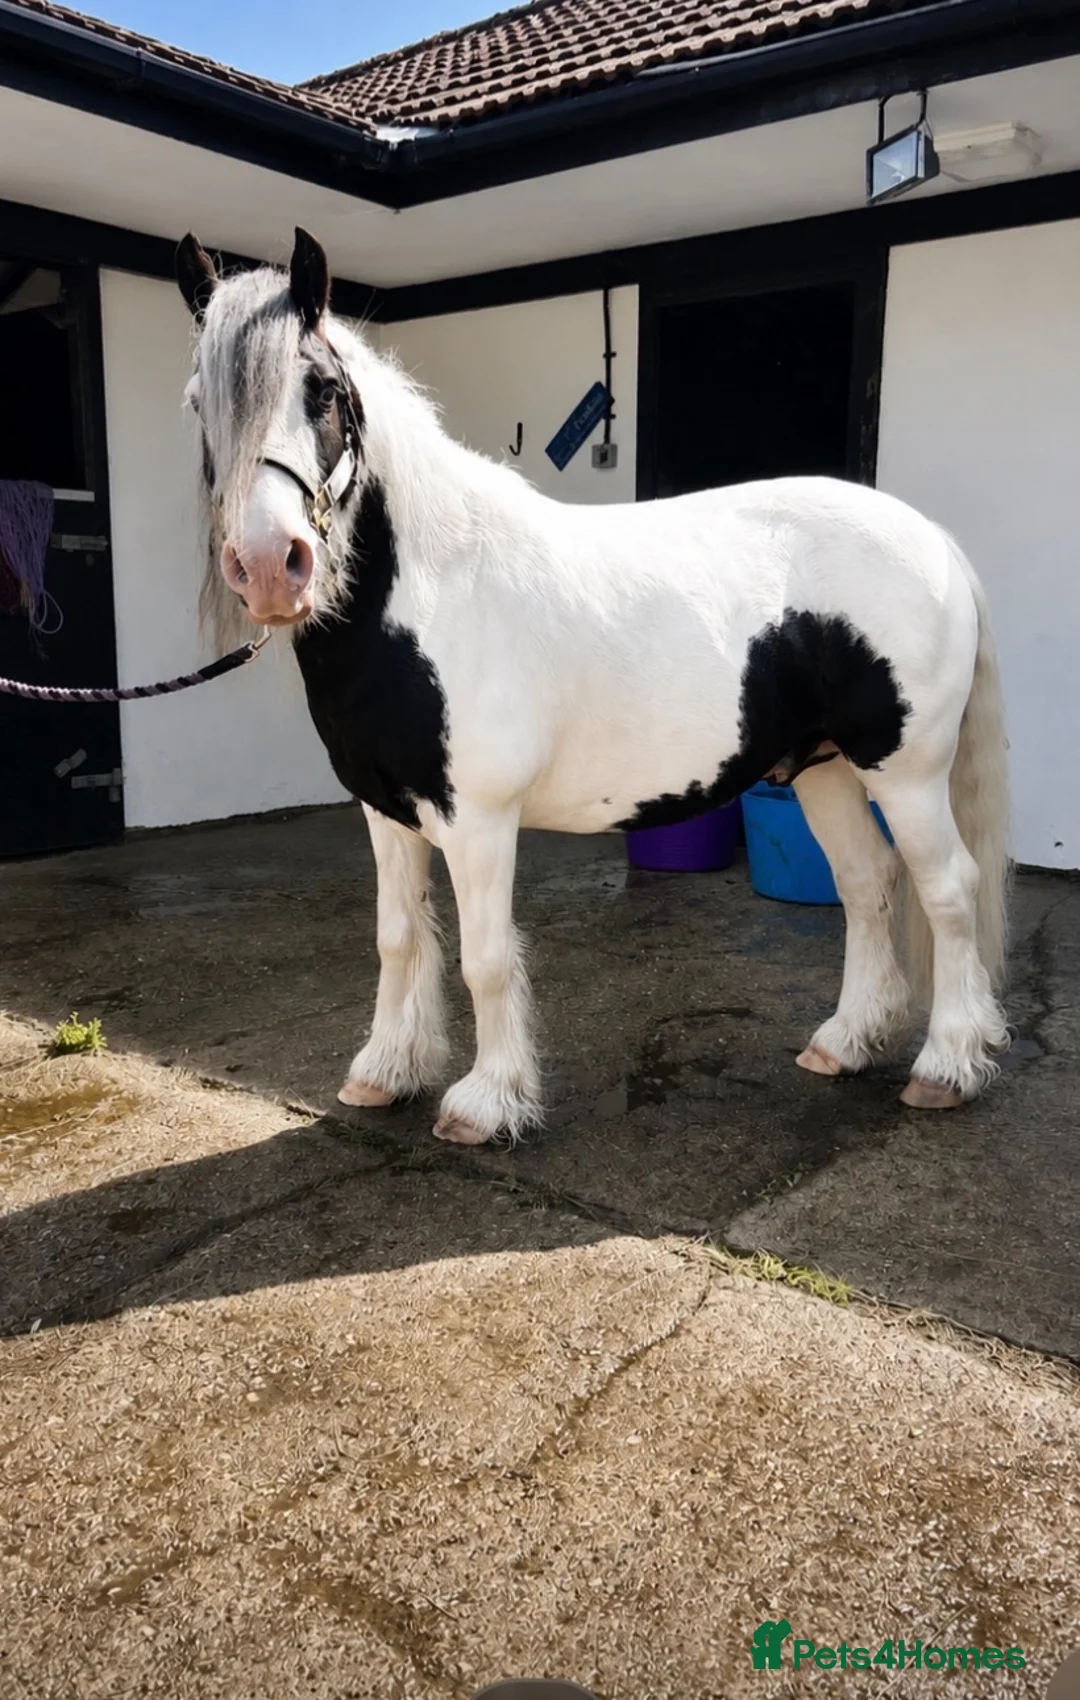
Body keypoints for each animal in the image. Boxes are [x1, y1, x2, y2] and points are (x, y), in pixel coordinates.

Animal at [175, 227, 1011, 1147]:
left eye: (323, 392)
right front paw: (385, 1072)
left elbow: (485, 955)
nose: (267, 566)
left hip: (906, 773)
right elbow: (398, 938)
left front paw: (487, 1102)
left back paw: (946, 1066)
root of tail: (934, 540)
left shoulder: (478, 820)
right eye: (197, 405)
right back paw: (844, 1044)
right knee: (867, 886)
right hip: (822, 769)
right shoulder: (386, 813)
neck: (430, 590)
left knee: (948, 890)